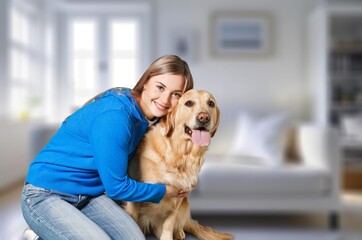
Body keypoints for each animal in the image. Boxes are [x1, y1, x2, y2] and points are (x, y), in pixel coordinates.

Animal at [124, 89, 233, 240]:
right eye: (189, 103)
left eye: (211, 103)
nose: (204, 117)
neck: (180, 155)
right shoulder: (135, 194)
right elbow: (132, 219)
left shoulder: (178, 197)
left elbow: (169, 223)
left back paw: (179, 232)